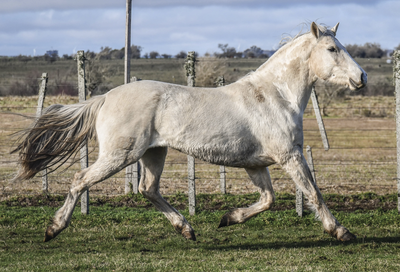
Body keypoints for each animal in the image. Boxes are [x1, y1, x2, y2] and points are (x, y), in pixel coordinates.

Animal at [14, 21, 368, 242]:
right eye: (332, 49)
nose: (362, 77)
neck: (275, 95)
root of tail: (104, 98)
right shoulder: (289, 155)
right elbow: (313, 193)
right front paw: (341, 232)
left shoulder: (257, 164)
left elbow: (268, 200)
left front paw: (228, 218)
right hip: (120, 155)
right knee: (81, 180)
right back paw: (53, 228)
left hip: (153, 153)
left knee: (147, 189)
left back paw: (186, 229)